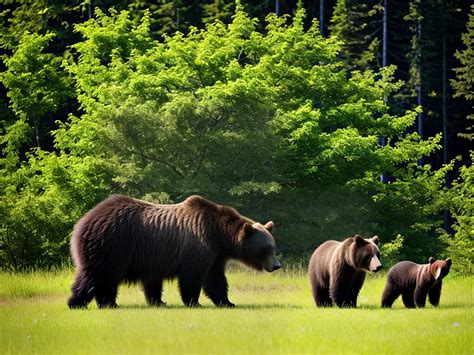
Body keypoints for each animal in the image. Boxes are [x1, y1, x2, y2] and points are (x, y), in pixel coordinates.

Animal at [68, 196, 280, 310]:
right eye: (266, 248)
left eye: (273, 246)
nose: (277, 265)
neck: (218, 235)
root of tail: (84, 220)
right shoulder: (197, 246)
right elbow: (192, 277)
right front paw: (194, 302)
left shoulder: (215, 255)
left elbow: (216, 280)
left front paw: (227, 302)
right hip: (111, 245)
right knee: (97, 275)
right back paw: (77, 302)